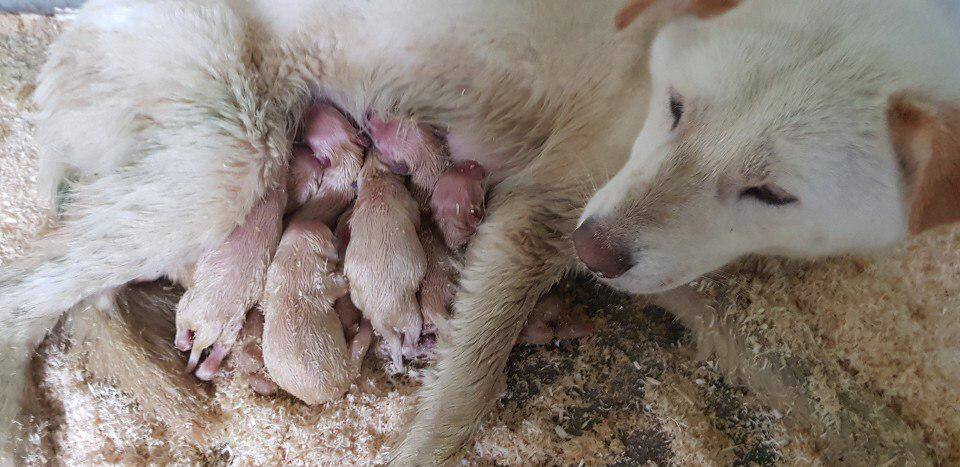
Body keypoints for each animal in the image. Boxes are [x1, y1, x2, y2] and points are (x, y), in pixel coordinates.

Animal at [260, 219, 374, 406]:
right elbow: (341, 284)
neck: (296, 257)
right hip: (349, 362)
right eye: (331, 235)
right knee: (359, 346)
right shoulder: (321, 279)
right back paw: (364, 326)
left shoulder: (273, 274)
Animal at [342, 154, 424, 370]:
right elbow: (416, 216)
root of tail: (380, 316)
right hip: (412, 314)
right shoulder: (408, 201)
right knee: (407, 345)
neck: (375, 178)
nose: (371, 149)